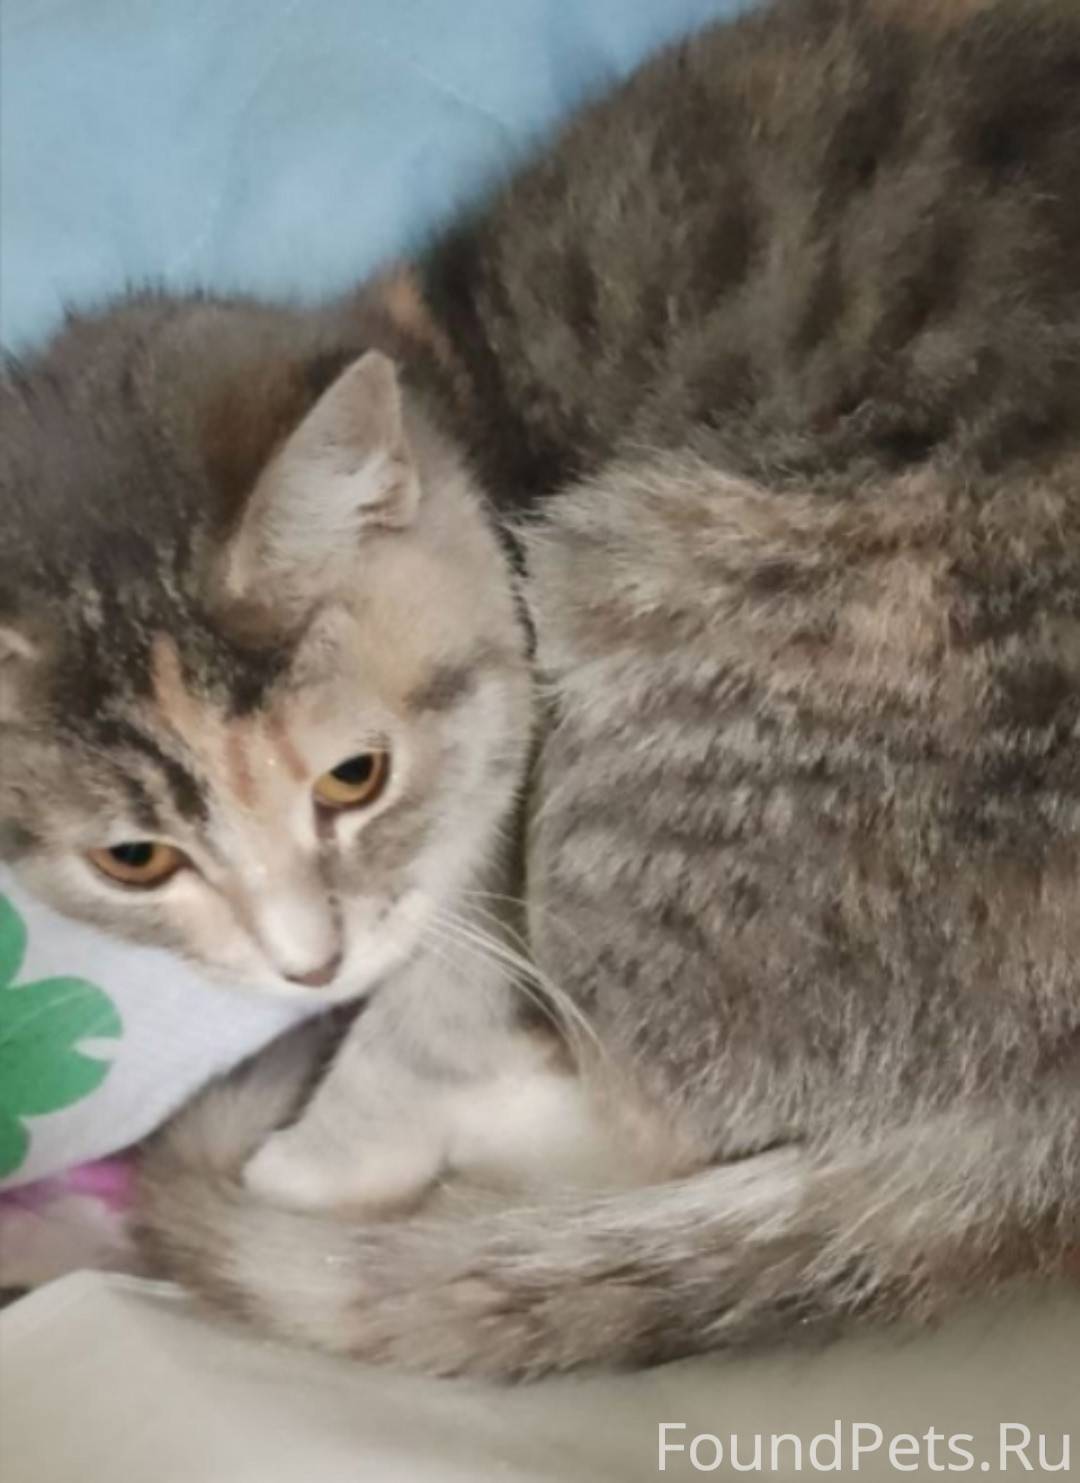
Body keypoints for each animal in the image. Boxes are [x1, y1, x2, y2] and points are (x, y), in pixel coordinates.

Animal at [4, 0, 1080, 1379]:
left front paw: (315, 1157)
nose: (310, 967)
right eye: (133, 860)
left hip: (676, 637)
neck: (445, 380)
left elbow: (442, 998)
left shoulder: (500, 796)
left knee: (651, 1108)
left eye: (354, 778)